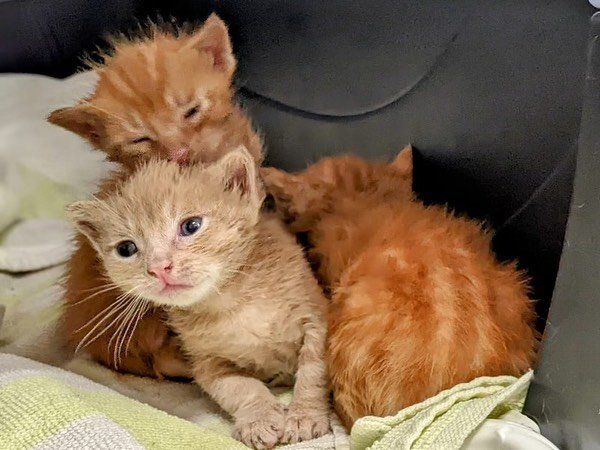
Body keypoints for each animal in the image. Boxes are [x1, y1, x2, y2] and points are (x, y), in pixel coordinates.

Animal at [68, 149, 330, 450]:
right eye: (126, 249)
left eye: (191, 226)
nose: (159, 267)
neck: (231, 301)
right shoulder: (207, 363)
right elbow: (239, 388)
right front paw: (259, 419)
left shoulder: (316, 318)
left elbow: (313, 371)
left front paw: (304, 416)